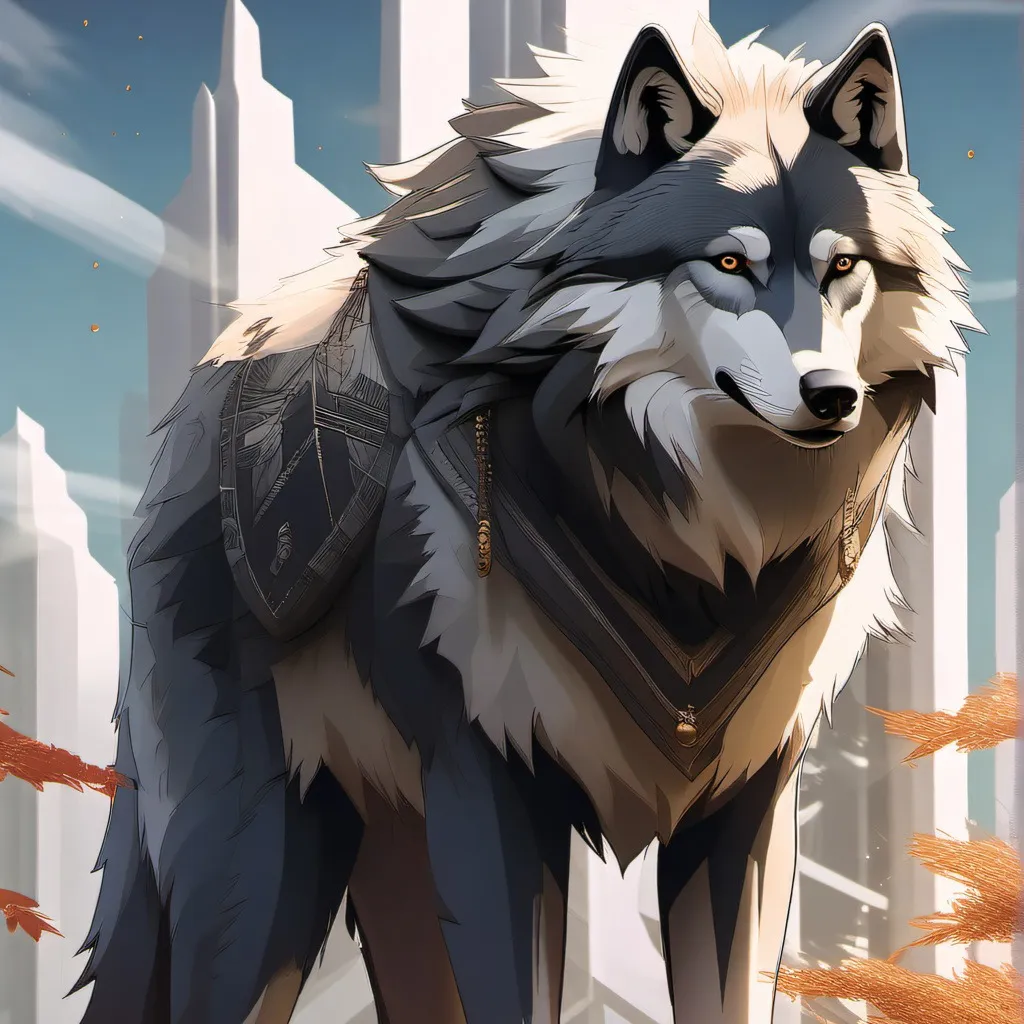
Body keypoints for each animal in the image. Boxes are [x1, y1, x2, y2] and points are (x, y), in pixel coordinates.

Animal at [75, 15, 979, 1024]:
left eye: (843, 266)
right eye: (730, 263)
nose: (832, 397)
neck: (688, 543)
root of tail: (200, 397)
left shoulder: (743, 803)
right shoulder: (490, 781)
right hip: (261, 873)